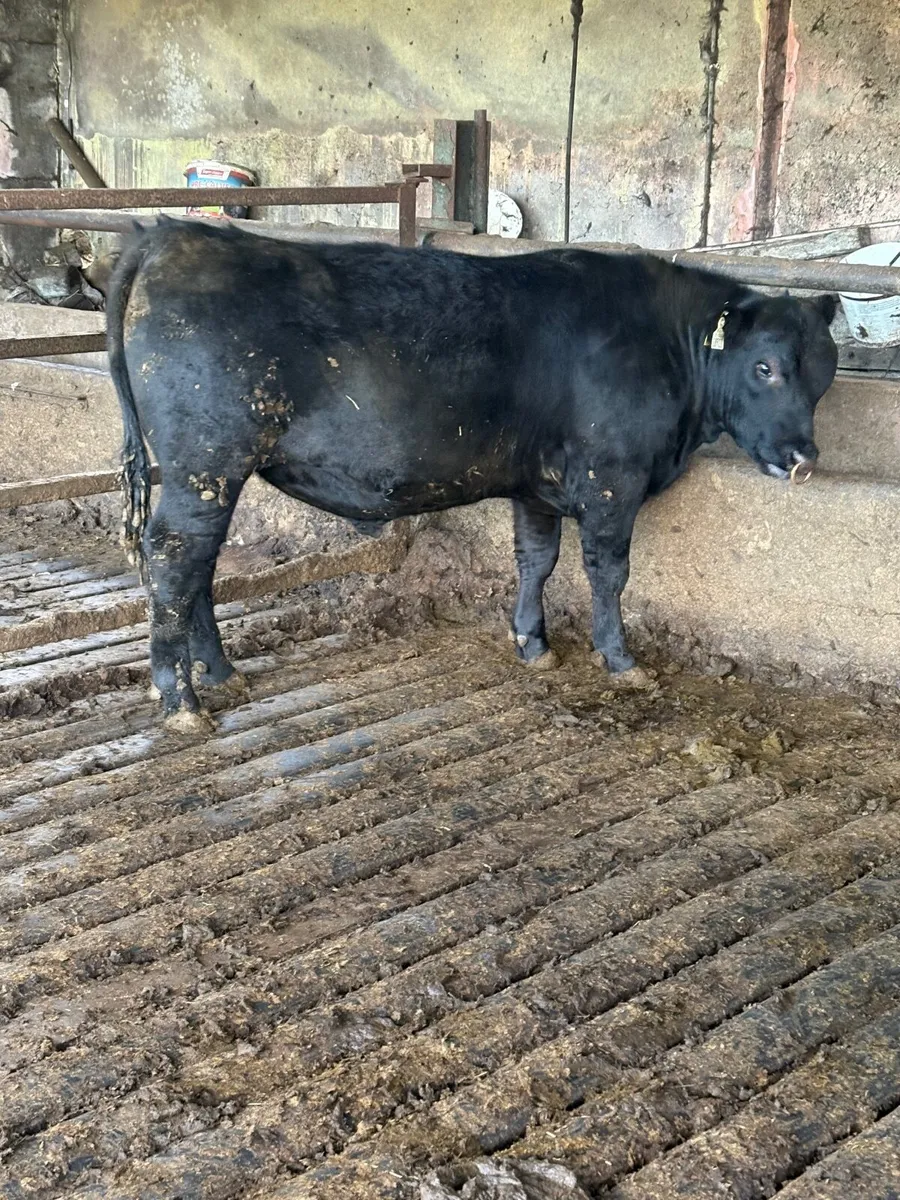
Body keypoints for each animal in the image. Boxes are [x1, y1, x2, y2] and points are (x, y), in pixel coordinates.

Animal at [107, 217, 838, 730]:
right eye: (765, 367)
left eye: (825, 371)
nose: (802, 459)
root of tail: (171, 234)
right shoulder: (612, 481)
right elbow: (609, 574)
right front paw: (620, 660)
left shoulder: (537, 484)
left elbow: (536, 560)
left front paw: (532, 643)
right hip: (207, 463)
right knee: (174, 560)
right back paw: (181, 700)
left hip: (203, 473)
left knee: (197, 565)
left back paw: (218, 673)